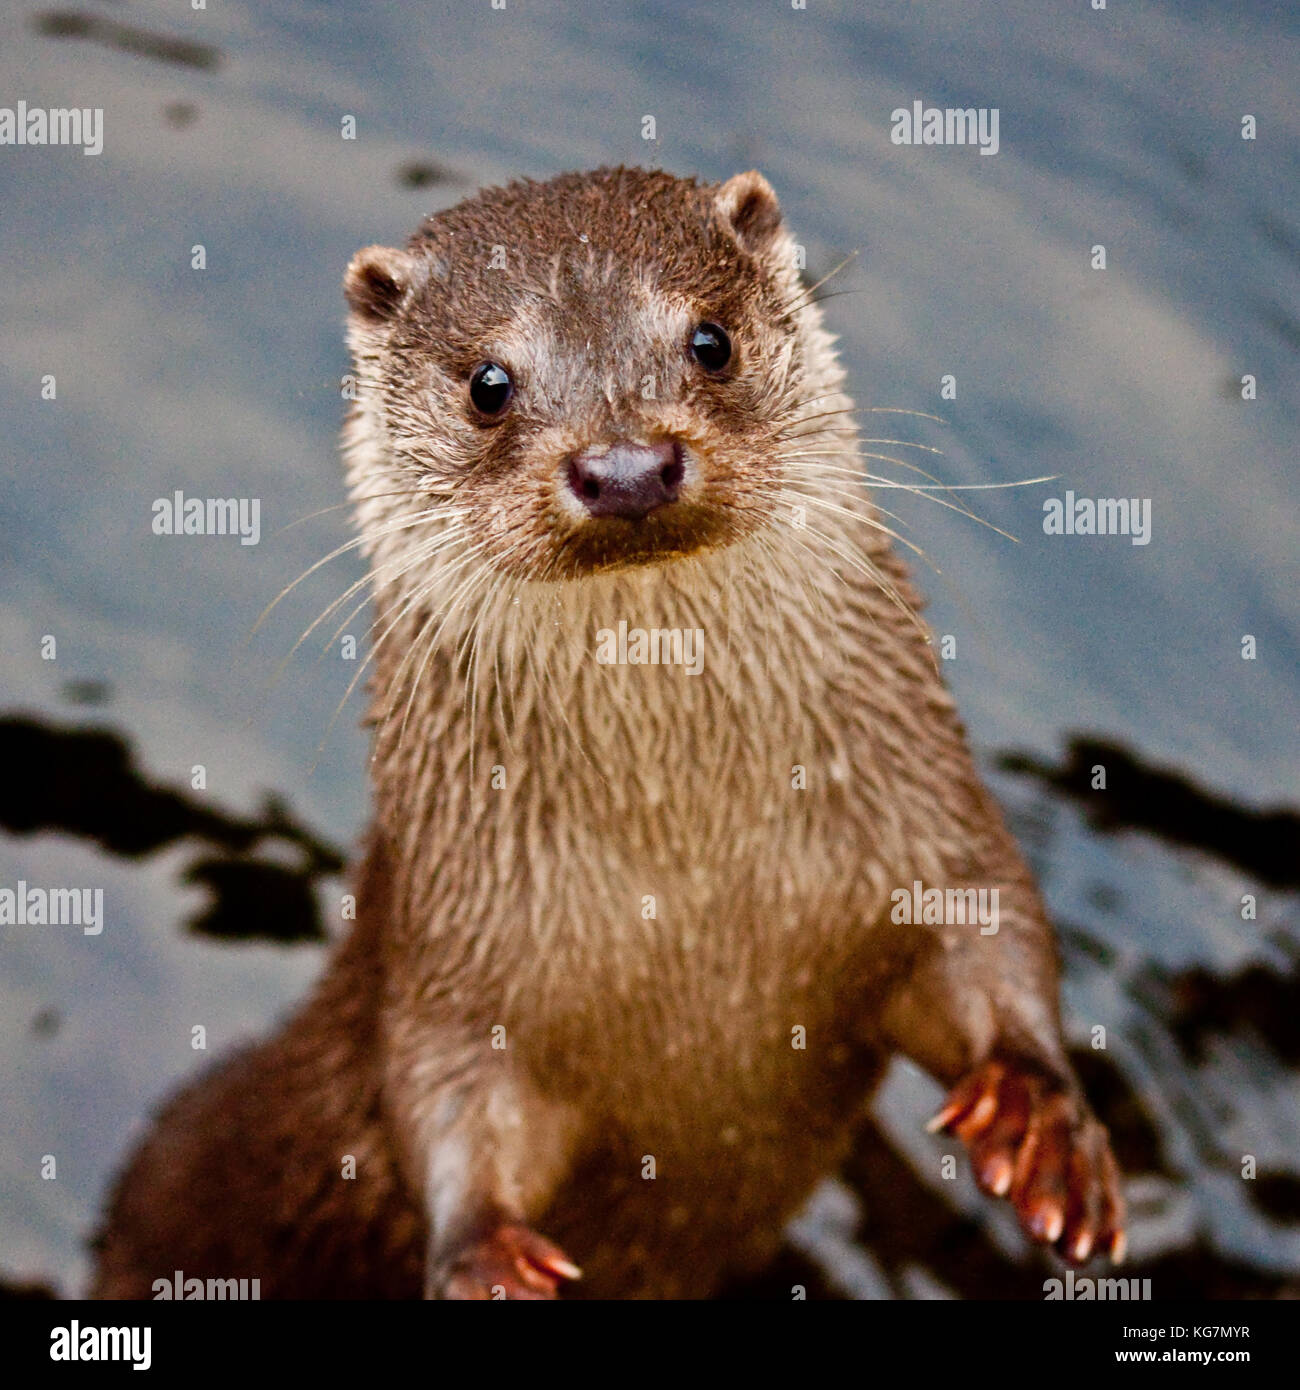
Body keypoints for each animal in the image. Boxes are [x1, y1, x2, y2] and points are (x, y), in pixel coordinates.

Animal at [93, 168, 1128, 1295]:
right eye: (488, 382)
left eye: (710, 340)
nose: (627, 465)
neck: (690, 887)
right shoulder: (447, 952)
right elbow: (445, 1095)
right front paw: (488, 1258)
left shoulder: (926, 812)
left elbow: (995, 935)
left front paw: (1041, 1120)